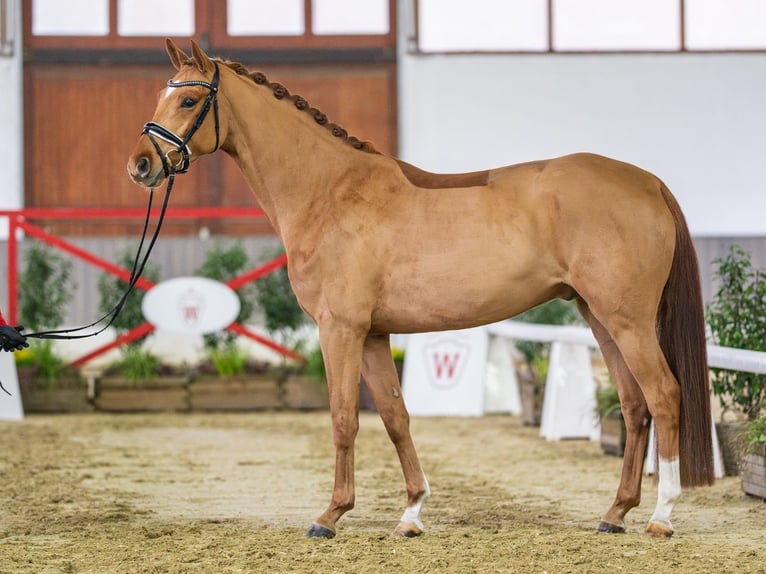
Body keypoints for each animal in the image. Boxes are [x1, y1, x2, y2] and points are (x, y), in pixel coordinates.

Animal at [127, 39, 714, 539]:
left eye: (187, 98)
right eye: (160, 94)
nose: (140, 165)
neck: (329, 192)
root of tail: (647, 182)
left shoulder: (340, 330)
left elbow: (344, 417)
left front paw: (330, 515)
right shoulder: (372, 335)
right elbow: (394, 417)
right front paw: (411, 512)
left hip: (628, 320)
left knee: (664, 396)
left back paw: (662, 516)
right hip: (600, 318)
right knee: (634, 406)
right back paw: (615, 513)